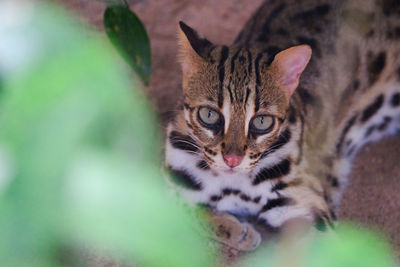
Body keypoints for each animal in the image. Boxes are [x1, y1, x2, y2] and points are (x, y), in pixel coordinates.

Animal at [164, 0, 400, 251]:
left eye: (262, 121)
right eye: (209, 115)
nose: (232, 160)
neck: (233, 182)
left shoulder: (303, 202)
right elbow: (181, 212)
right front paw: (236, 230)